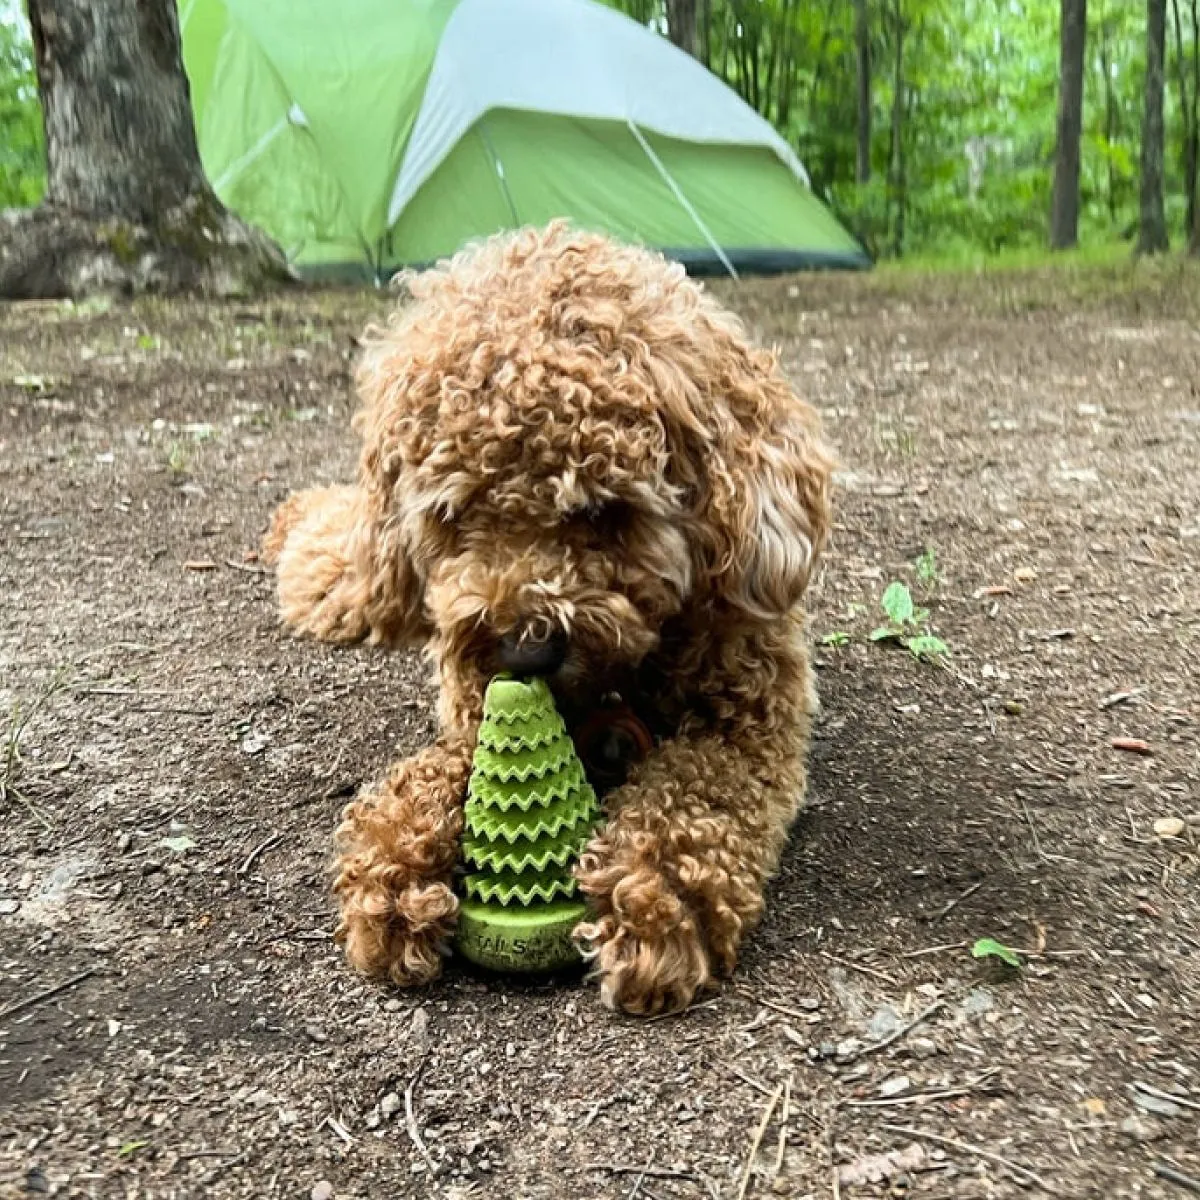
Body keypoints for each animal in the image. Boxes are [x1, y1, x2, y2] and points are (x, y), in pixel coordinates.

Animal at [260, 218, 835, 1012]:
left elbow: (701, 790)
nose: (522, 653)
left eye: (604, 510)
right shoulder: (474, 707)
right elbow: (444, 771)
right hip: (361, 582)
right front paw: (395, 867)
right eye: (452, 514)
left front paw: (654, 891)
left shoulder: (752, 720)